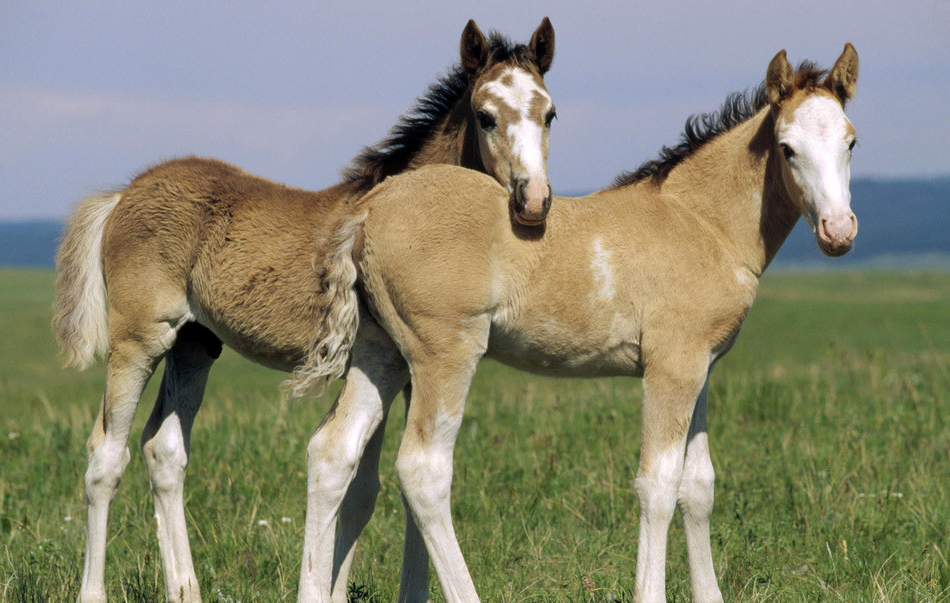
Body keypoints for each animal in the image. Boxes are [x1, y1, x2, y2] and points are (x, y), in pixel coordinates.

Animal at [52, 18, 557, 603]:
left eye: (550, 113)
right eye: (485, 115)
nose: (533, 200)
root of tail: (124, 193)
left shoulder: (407, 371)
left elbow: (376, 489)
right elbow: (361, 479)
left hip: (195, 344)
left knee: (165, 450)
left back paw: (185, 589)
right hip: (140, 338)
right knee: (106, 456)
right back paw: (95, 590)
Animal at [307, 44, 859, 603]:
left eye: (851, 142)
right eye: (788, 149)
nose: (838, 231)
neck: (703, 223)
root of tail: (368, 210)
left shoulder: (701, 367)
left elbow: (698, 486)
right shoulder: (671, 368)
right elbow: (658, 483)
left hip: (380, 351)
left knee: (332, 452)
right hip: (443, 353)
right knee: (423, 471)